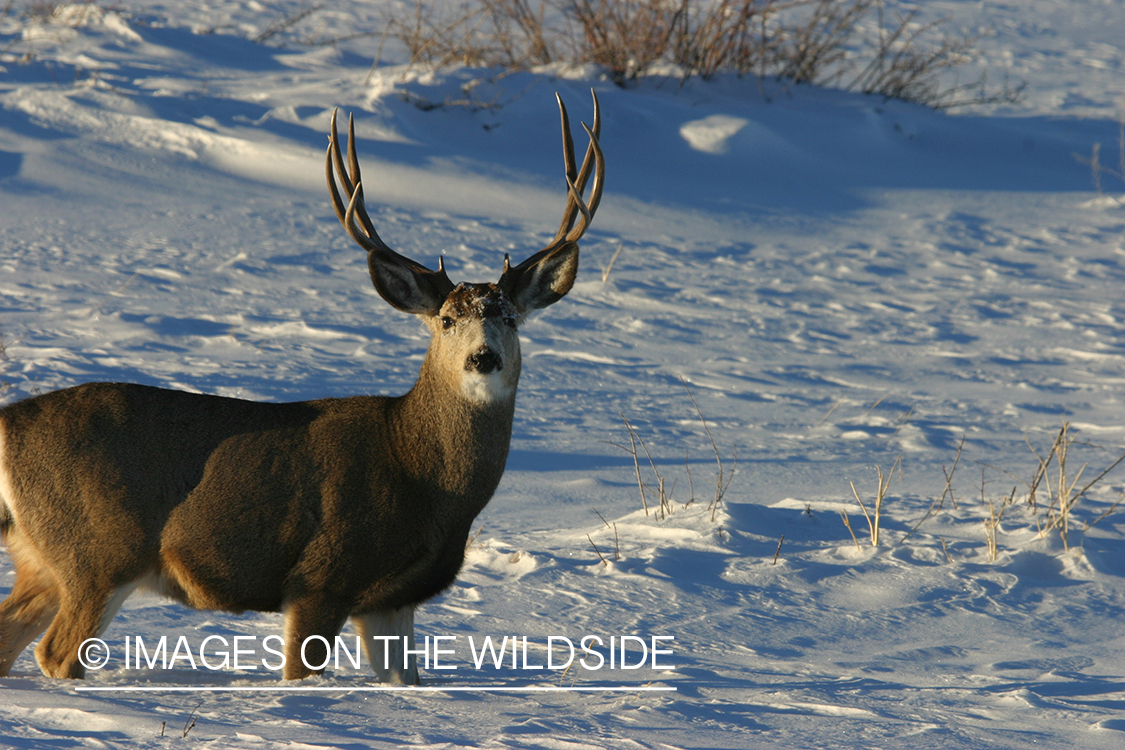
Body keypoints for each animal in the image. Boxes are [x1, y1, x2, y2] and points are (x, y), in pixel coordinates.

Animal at [0, 91, 603, 683]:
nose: (483, 358)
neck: (419, 473)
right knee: (56, 653)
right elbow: (300, 672)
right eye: (447, 320)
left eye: (511, 318)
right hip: (100, 549)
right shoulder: (322, 575)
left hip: (42, 559)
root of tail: (8, 422)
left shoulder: (392, 598)